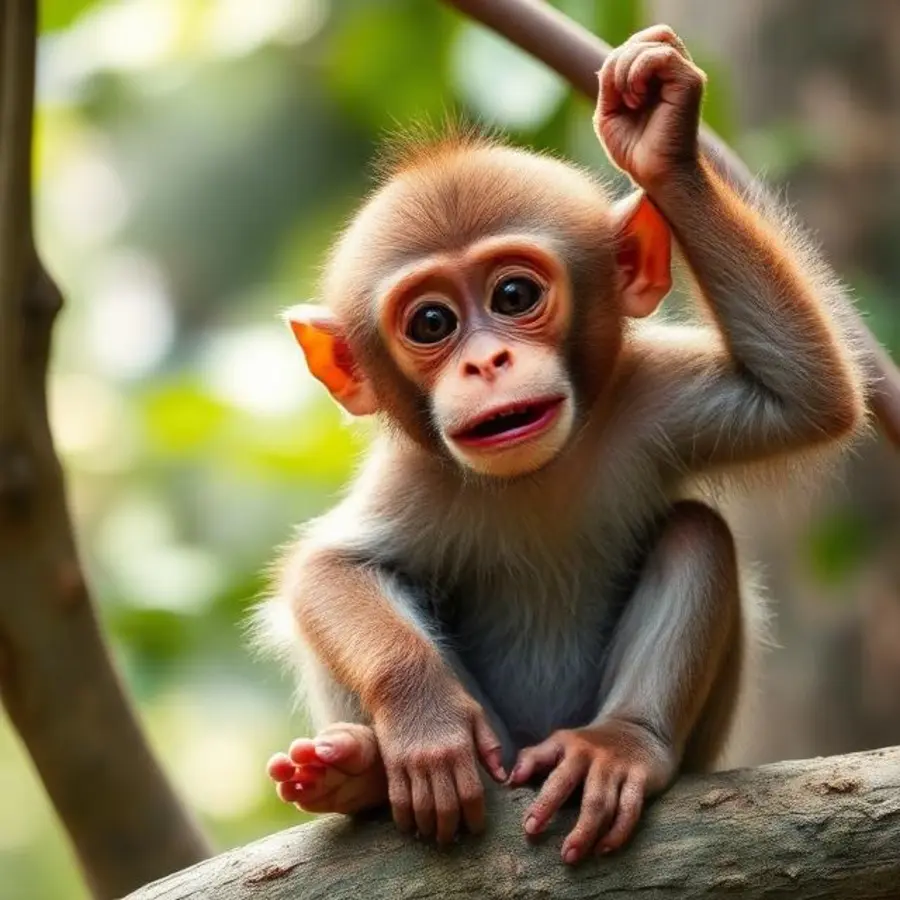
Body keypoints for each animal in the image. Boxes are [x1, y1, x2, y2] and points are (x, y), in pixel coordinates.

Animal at [259, 26, 867, 866]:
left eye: (514, 295)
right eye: (431, 323)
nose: (487, 363)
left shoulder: (647, 397)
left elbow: (805, 399)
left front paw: (660, 137)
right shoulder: (412, 476)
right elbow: (328, 568)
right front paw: (426, 725)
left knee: (695, 530)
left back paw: (620, 746)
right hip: (501, 746)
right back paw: (361, 773)